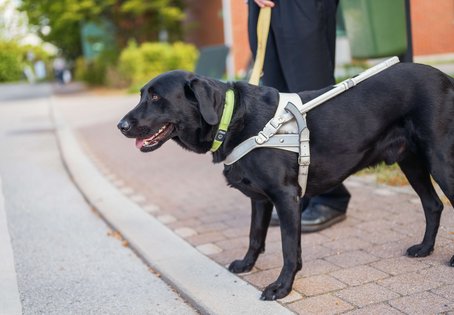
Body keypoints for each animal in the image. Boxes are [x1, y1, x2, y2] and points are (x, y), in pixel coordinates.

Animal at [118, 62, 454, 302]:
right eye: (142, 94)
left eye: (156, 97)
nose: (120, 125)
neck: (235, 120)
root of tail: (446, 78)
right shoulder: (260, 199)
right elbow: (255, 236)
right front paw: (246, 265)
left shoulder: (286, 197)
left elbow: (289, 249)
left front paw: (282, 287)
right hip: (410, 161)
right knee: (433, 205)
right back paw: (425, 248)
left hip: (439, 159)